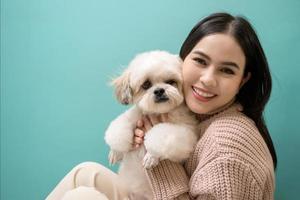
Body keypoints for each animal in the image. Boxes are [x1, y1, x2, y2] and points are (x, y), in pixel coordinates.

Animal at [104, 50, 198, 199]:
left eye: (171, 82)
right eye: (146, 84)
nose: (159, 90)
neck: (158, 112)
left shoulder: (185, 132)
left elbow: (160, 139)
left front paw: (151, 156)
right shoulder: (135, 117)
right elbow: (121, 128)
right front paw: (115, 151)